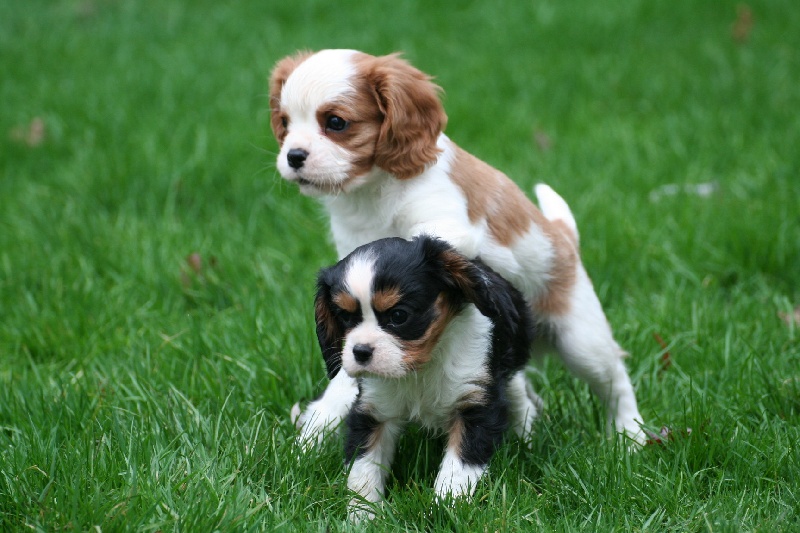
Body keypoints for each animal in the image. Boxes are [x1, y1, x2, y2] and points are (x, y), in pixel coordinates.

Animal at [272, 50, 648, 442]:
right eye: (284, 122)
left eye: (335, 122)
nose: (293, 156)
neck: (372, 191)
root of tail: (563, 236)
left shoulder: (447, 225)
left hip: (581, 339)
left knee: (615, 379)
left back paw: (629, 436)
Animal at [314, 234, 536, 516]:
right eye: (344, 317)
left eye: (399, 315)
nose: (360, 351)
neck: (422, 366)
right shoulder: (373, 409)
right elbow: (363, 467)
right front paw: (363, 515)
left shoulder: (476, 402)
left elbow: (458, 466)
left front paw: (444, 508)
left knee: (517, 393)